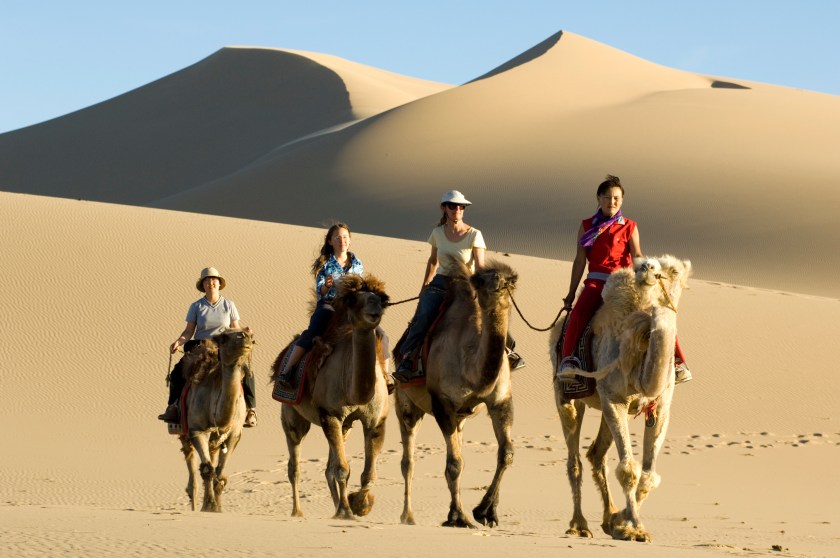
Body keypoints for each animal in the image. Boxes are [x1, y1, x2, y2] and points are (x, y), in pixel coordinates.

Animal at [179, 330, 254, 516]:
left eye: (248, 334)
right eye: (224, 338)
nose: (245, 336)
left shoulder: (234, 435)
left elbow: (219, 472)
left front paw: (217, 508)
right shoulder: (197, 431)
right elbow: (207, 470)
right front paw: (210, 505)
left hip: (214, 441)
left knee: (212, 460)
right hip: (184, 433)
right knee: (192, 466)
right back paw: (194, 504)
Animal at [270, 274, 392, 524]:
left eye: (382, 299)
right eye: (354, 299)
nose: (374, 307)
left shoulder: (375, 421)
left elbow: (367, 473)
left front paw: (359, 505)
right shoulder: (330, 414)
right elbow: (343, 470)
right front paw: (348, 509)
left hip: (345, 427)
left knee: (328, 468)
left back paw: (336, 508)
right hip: (292, 416)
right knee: (294, 465)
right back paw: (298, 511)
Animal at [396, 262, 520, 528]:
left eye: (510, 281)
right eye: (482, 280)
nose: (498, 281)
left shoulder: (501, 401)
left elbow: (506, 454)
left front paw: (486, 512)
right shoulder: (442, 403)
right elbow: (454, 464)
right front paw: (460, 517)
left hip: (461, 419)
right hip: (406, 403)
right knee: (408, 461)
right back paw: (407, 516)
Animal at [552, 258, 688, 544]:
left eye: (674, 271)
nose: (648, 267)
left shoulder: (660, 406)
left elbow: (648, 476)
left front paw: (620, 522)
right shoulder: (615, 398)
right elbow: (629, 471)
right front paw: (634, 528)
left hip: (603, 406)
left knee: (595, 454)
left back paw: (607, 518)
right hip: (567, 395)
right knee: (574, 458)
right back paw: (579, 525)